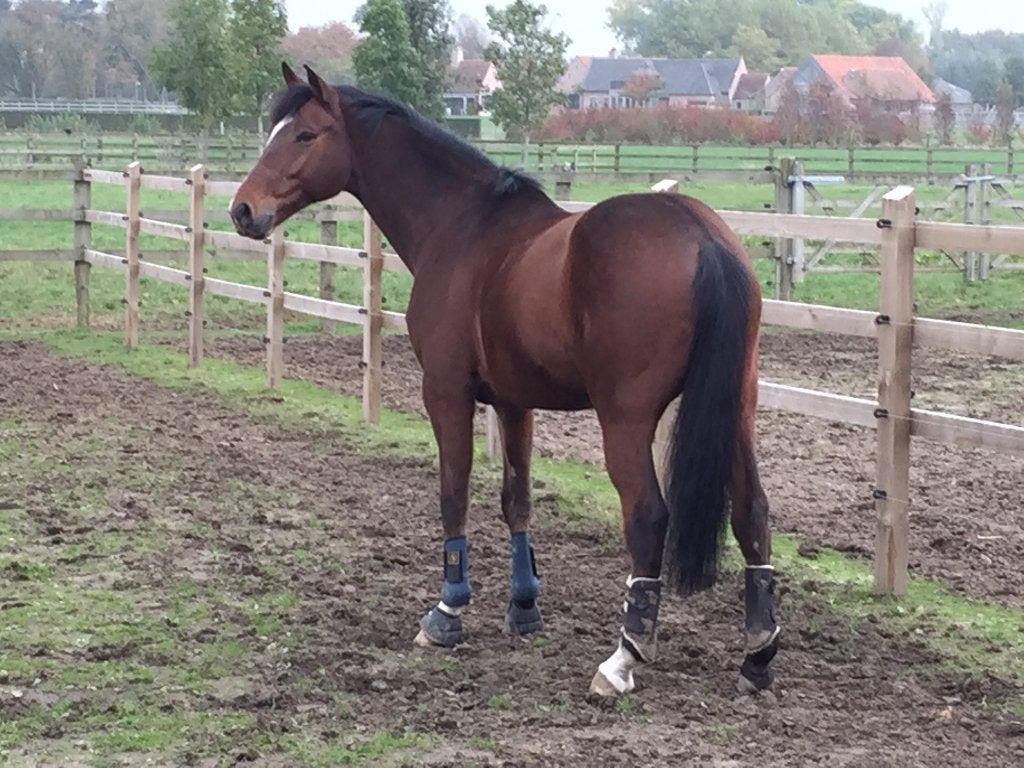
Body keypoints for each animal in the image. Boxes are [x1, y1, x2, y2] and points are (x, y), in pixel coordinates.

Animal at [230, 63, 780, 697]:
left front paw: (447, 612)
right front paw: (523, 607)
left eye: (304, 135)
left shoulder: (445, 392)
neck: (462, 226)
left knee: (647, 518)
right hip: (735, 408)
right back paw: (758, 656)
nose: (242, 210)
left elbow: (454, 493)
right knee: (753, 513)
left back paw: (622, 658)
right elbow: (517, 500)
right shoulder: (516, 403)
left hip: (625, 419)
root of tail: (702, 236)